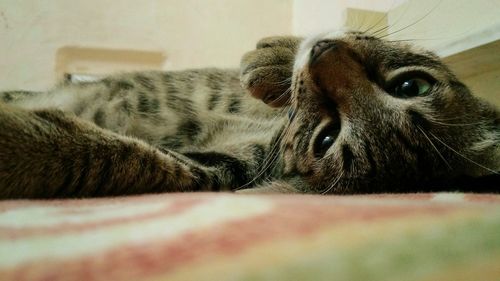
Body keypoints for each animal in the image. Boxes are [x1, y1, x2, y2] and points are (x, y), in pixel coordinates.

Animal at [0, 31, 500, 197]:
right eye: (410, 86)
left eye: (326, 139)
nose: (325, 51)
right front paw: (280, 56)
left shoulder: (219, 168)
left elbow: (122, 155)